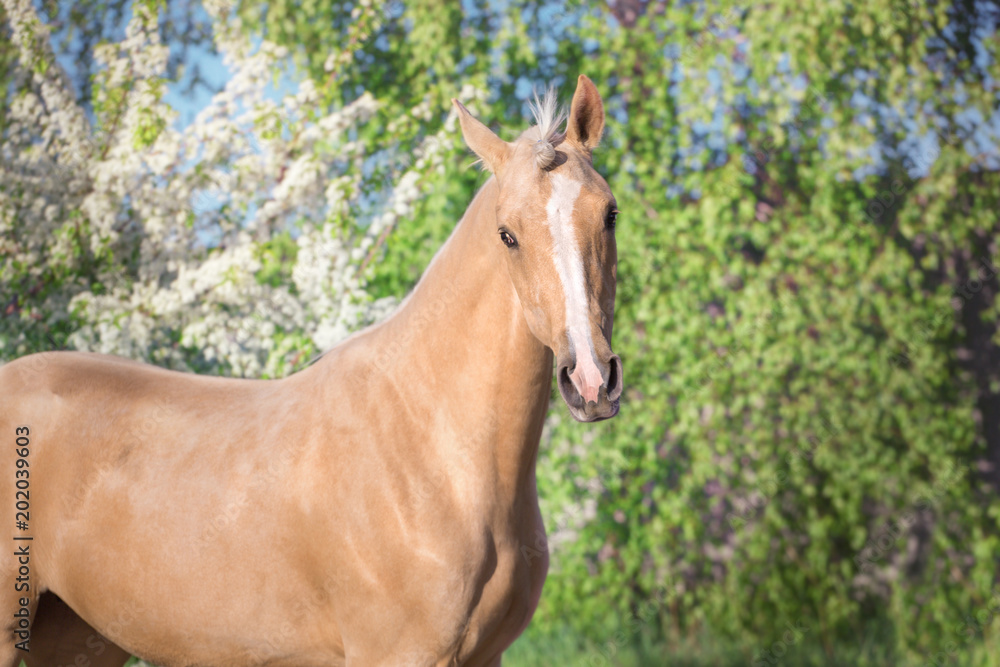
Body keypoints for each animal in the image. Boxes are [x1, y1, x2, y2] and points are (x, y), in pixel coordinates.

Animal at [0, 75, 620, 664]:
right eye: (507, 235)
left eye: (609, 213)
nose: (590, 381)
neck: (436, 452)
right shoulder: (398, 654)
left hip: (79, 638)